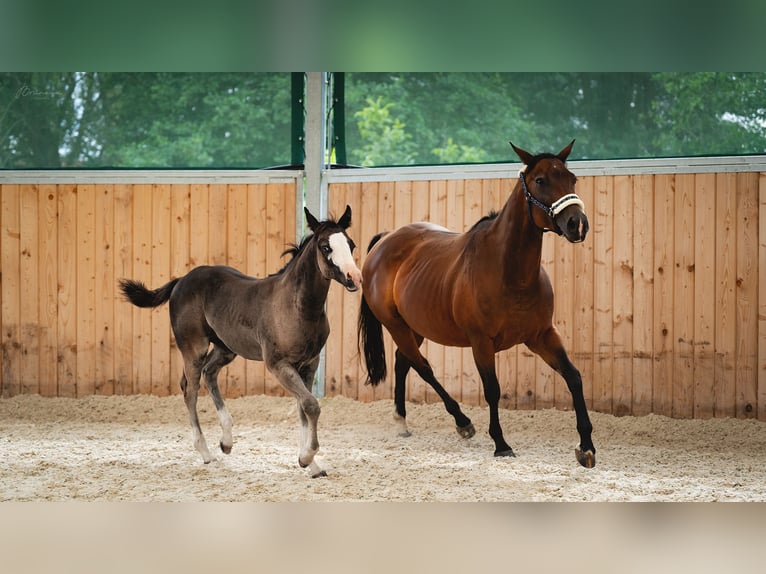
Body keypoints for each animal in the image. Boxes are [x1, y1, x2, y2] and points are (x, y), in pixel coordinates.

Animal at [119, 205, 364, 480]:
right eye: (325, 246)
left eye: (351, 244)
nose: (354, 277)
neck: (298, 307)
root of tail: (181, 280)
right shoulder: (278, 364)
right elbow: (310, 404)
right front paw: (306, 458)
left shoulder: (310, 364)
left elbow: (304, 407)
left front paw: (312, 465)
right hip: (193, 348)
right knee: (190, 390)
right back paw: (206, 453)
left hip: (226, 348)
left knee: (209, 373)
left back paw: (226, 441)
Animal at [360, 143, 600, 468]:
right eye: (540, 180)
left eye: (572, 178)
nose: (578, 224)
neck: (511, 273)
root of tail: (385, 241)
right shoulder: (481, 342)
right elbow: (492, 390)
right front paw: (501, 444)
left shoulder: (542, 336)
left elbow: (574, 377)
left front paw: (586, 446)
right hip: (395, 325)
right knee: (422, 367)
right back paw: (462, 422)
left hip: (415, 326)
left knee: (402, 361)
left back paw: (402, 421)